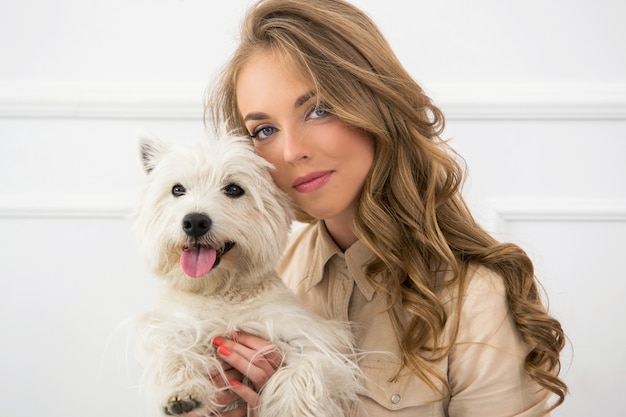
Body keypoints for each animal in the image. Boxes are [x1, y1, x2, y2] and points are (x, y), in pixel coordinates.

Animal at [134, 134, 360, 416]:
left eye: (233, 189)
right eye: (177, 189)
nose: (195, 222)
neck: (221, 292)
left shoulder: (312, 338)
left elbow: (305, 370)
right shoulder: (174, 327)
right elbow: (174, 351)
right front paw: (182, 394)